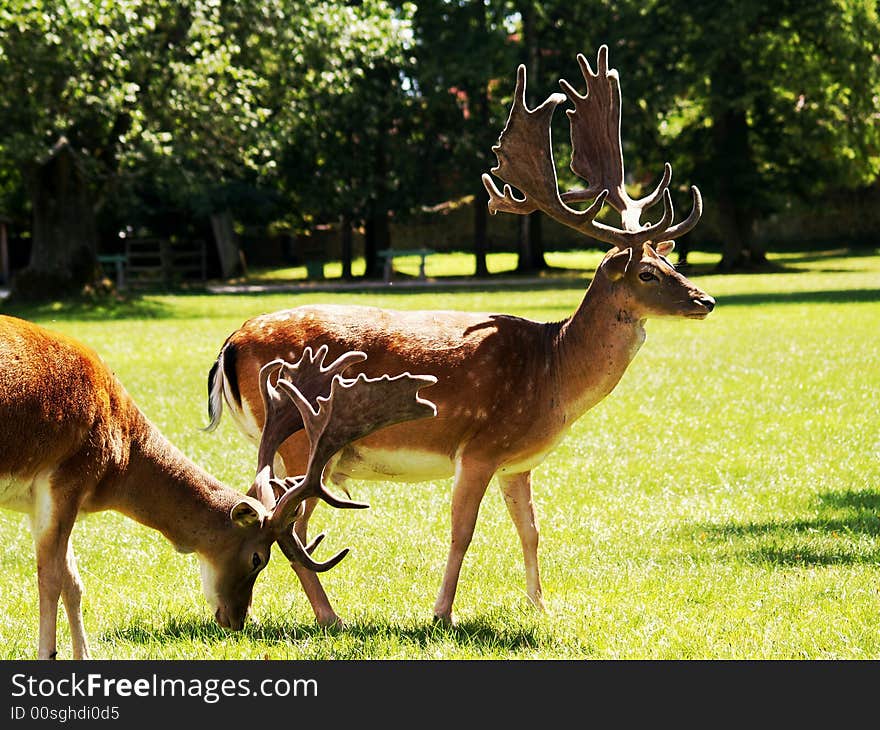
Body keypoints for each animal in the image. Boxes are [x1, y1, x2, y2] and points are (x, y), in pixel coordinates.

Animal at [0, 316, 438, 656]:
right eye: (259, 557)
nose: (237, 620)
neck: (118, 456)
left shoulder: (43, 500)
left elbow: (73, 581)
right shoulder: (64, 478)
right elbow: (50, 579)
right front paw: (47, 654)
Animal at [206, 47, 716, 624]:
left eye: (671, 260)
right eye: (647, 273)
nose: (705, 300)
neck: (553, 371)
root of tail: (230, 344)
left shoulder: (519, 462)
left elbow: (531, 530)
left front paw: (540, 608)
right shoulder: (478, 447)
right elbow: (462, 533)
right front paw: (442, 613)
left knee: (262, 507)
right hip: (300, 439)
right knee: (288, 520)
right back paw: (329, 616)